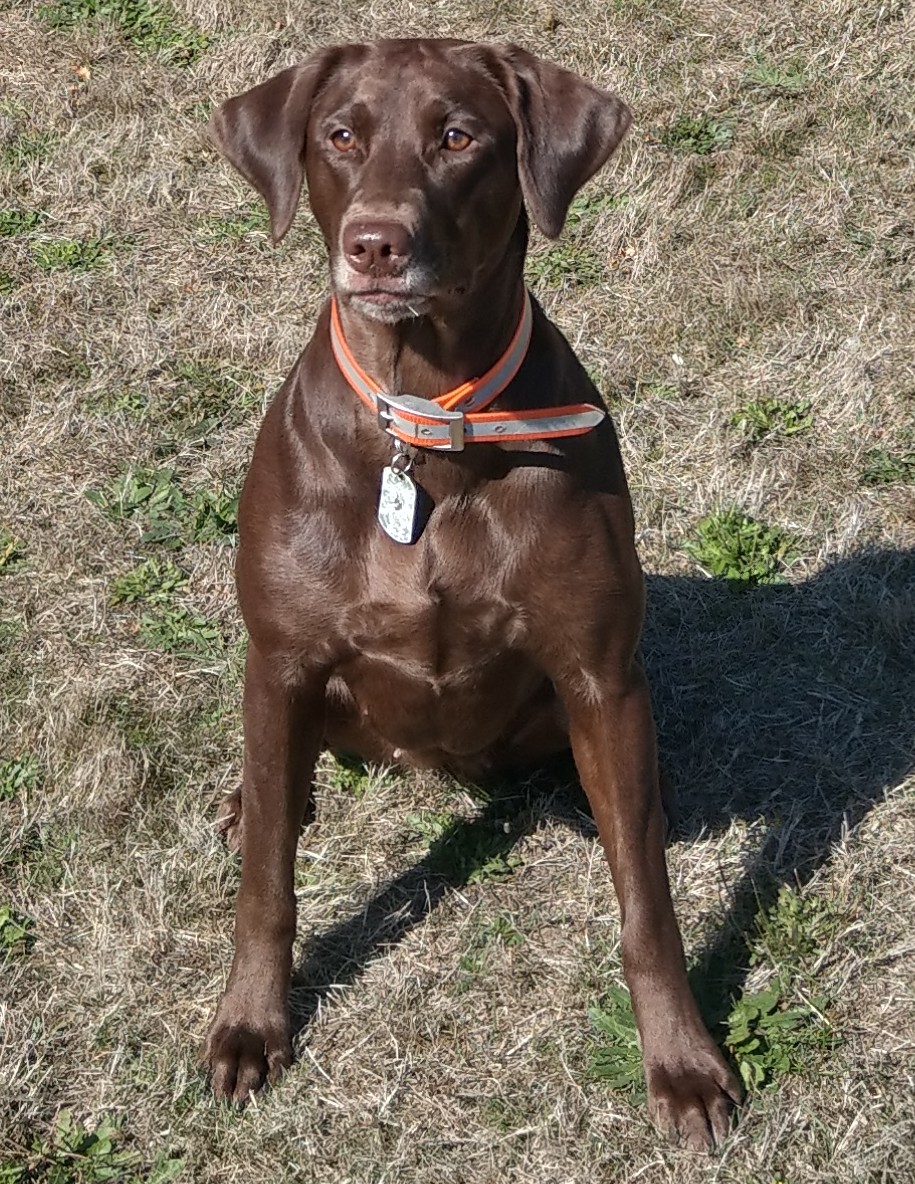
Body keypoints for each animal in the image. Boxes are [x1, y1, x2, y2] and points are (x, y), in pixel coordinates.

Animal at [201, 37, 743, 1146]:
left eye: (457, 137)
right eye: (340, 135)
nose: (373, 244)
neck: (425, 422)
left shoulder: (599, 675)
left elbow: (648, 906)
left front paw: (683, 1062)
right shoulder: (280, 659)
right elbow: (266, 883)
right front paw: (249, 1023)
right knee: (279, 781)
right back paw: (251, 796)